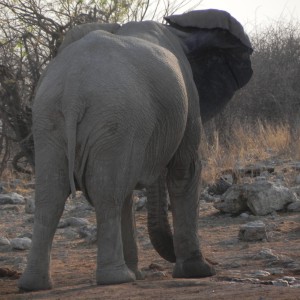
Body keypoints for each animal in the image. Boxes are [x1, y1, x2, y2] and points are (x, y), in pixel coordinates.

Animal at [18, 8, 253, 290]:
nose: (213, 261)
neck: (181, 33)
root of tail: (74, 88)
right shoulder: (187, 101)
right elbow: (185, 170)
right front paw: (199, 271)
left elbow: (128, 192)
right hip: (114, 115)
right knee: (107, 194)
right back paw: (116, 278)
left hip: (49, 119)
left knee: (52, 195)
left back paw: (35, 284)